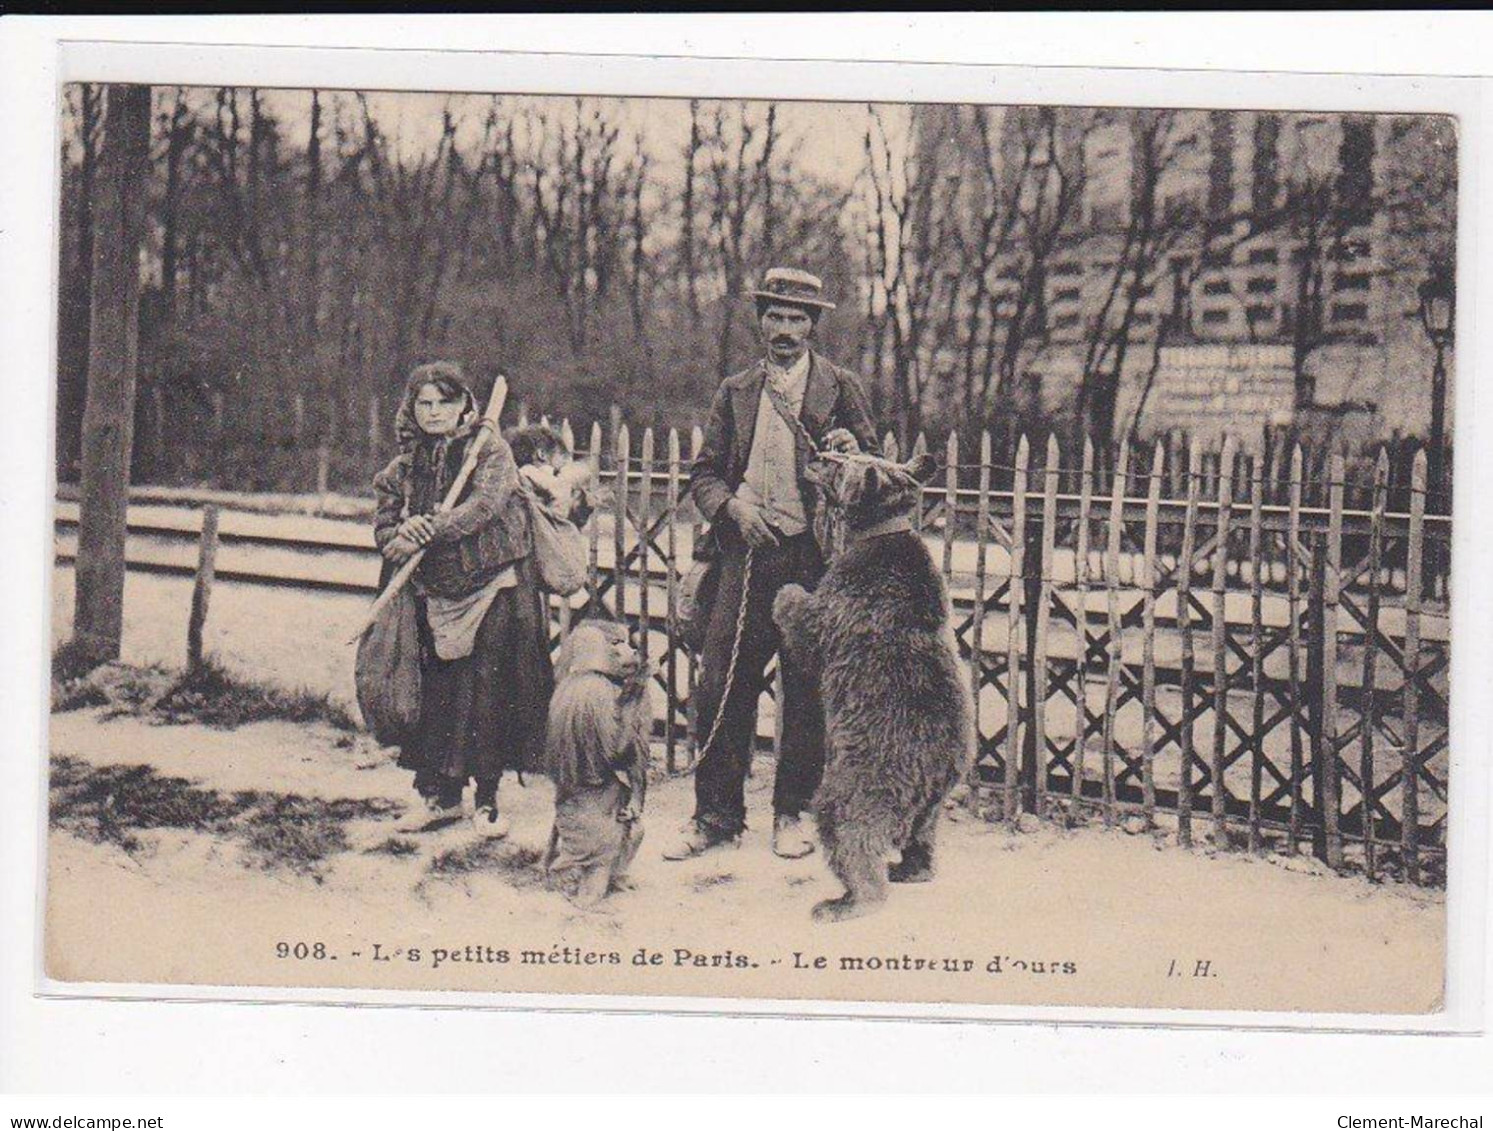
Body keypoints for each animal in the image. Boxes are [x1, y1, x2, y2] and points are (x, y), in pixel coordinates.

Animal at [776, 447, 973, 925]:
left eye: (837, 462)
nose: (815, 453)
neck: (879, 531)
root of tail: (930, 772)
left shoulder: (842, 604)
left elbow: (807, 623)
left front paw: (786, 591)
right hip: (934, 801)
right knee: (922, 836)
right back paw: (912, 868)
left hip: (857, 784)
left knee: (850, 837)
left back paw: (844, 901)